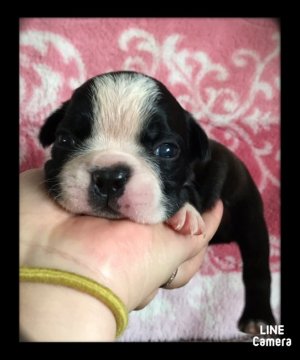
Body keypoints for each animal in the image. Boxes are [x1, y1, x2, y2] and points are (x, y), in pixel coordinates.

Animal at [38, 70, 276, 334]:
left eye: (167, 150)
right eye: (64, 140)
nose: (109, 177)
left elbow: (189, 192)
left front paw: (185, 213)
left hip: (250, 218)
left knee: (257, 267)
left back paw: (257, 317)